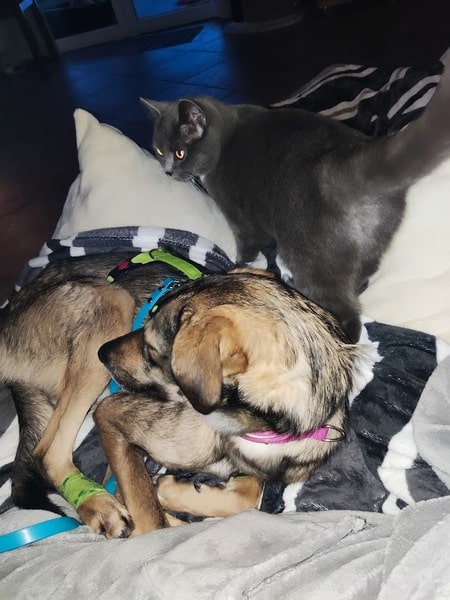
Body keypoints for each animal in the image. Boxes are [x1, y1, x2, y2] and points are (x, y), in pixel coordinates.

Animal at [0, 251, 360, 538]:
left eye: (151, 349)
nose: (104, 354)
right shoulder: (111, 413)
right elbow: (151, 522)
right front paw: (160, 498)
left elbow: (244, 499)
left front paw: (173, 493)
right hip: (111, 304)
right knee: (47, 452)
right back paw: (99, 505)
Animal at [141, 66, 450, 342]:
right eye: (159, 151)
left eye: (180, 153)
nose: (168, 172)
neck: (223, 139)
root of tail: (344, 161)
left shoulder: (240, 217)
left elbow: (247, 245)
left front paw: (236, 267)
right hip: (376, 236)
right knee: (363, 275)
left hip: (312, 255)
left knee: (346, 311)